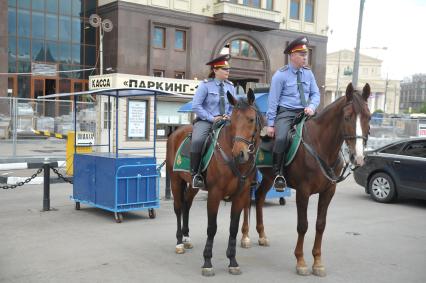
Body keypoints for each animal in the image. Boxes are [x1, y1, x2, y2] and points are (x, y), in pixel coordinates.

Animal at [166, 90, 262, 278]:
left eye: (251, 119)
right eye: (233, 120)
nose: (239, 153)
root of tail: (176, 132)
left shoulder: (241, 195)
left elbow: (233, 228)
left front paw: (233, 261)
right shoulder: (215, 194)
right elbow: (212, 227)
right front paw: (207, 262)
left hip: (192, 185)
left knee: (187, 204)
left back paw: (186, 238)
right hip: (175, 180)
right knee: (179, 208)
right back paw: (179, 242)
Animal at [241, 82, 372, 278]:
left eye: (369, 117)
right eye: (347, 117)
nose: (358, 157)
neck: (321, 147)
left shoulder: (328, 192)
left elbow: (320, 225)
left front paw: (317, 262)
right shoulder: (303, 192)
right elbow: (303, 225)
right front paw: (301, 261)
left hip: (269, 177)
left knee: (260, 197)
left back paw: (262, 235)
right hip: (248, 175)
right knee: (247, 201)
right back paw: (245, 236)